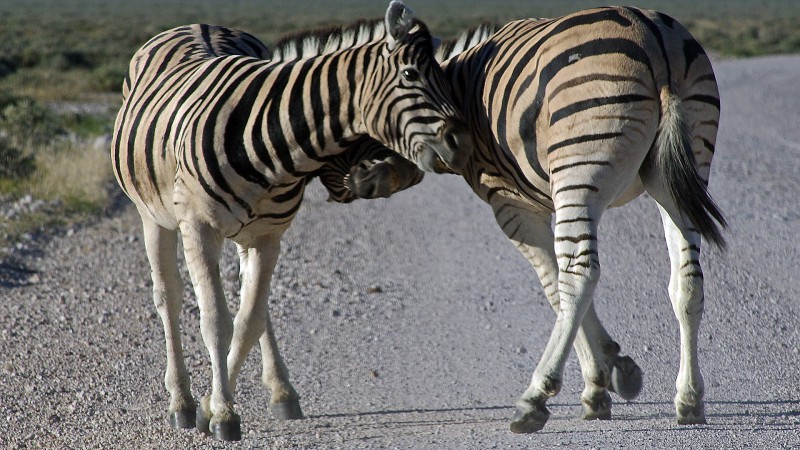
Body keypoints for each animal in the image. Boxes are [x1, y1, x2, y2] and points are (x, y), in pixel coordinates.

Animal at [109, 1, 472, 442]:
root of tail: (199, 23)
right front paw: (219, 412)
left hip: (246, 235)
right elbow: (215, 322)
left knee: (254, 304)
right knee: (169, 298)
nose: (462, 145)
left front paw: (215, 406)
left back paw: (279, 392)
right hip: (153, 216)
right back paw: (181, 402)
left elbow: (248, 321)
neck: (268, 146)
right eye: (410, 75)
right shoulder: (198, 226)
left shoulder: (268, 235)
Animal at [322, 7, 728, 434]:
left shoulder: (514, 207)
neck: (455, 92)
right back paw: (689, 400)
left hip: (578, 177)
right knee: (686, 283)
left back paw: (534, 398)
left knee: (580, 277)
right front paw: (613, 373)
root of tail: (653, 39)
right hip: (679, 176)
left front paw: (599, 384)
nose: (346, 187)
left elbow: (555, 289)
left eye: (347, 138)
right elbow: (565, 292)